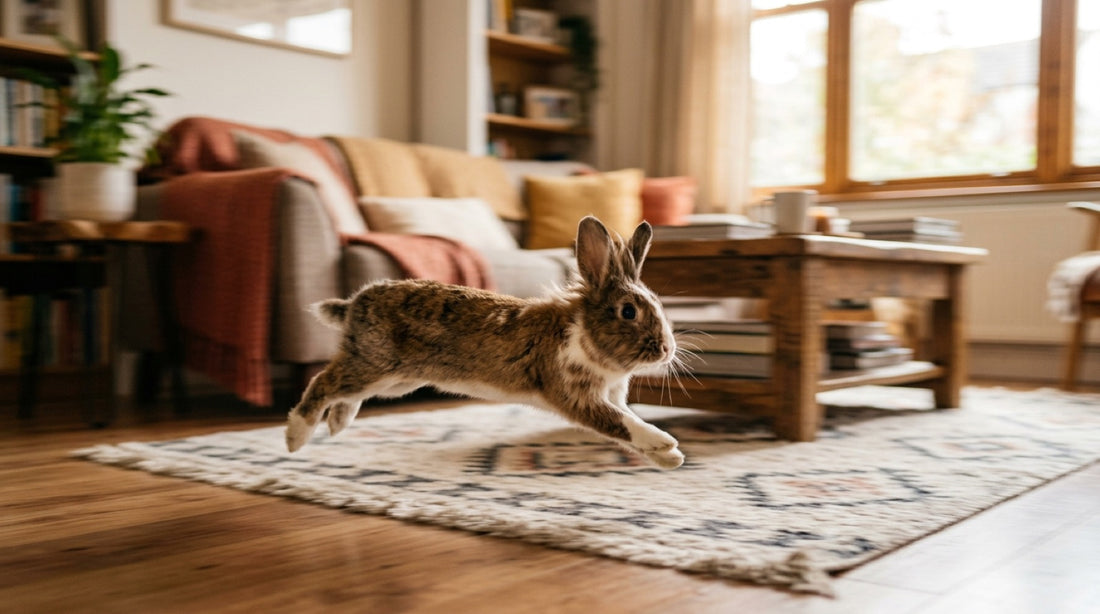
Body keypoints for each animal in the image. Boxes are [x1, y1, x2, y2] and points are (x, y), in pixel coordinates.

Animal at [285, 215, 685, 469]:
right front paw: (665, 442)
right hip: (375, 366)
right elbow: (620, 423)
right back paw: (295, 437)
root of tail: (354, 303)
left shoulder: (609, 397)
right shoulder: (577, 396)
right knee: (322, 382)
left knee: (342, 391)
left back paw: (337, 424)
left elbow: (624, 426)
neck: (583, 332)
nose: (667, 350)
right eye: (628, 312)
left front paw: (669, 458)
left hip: (395, 381)